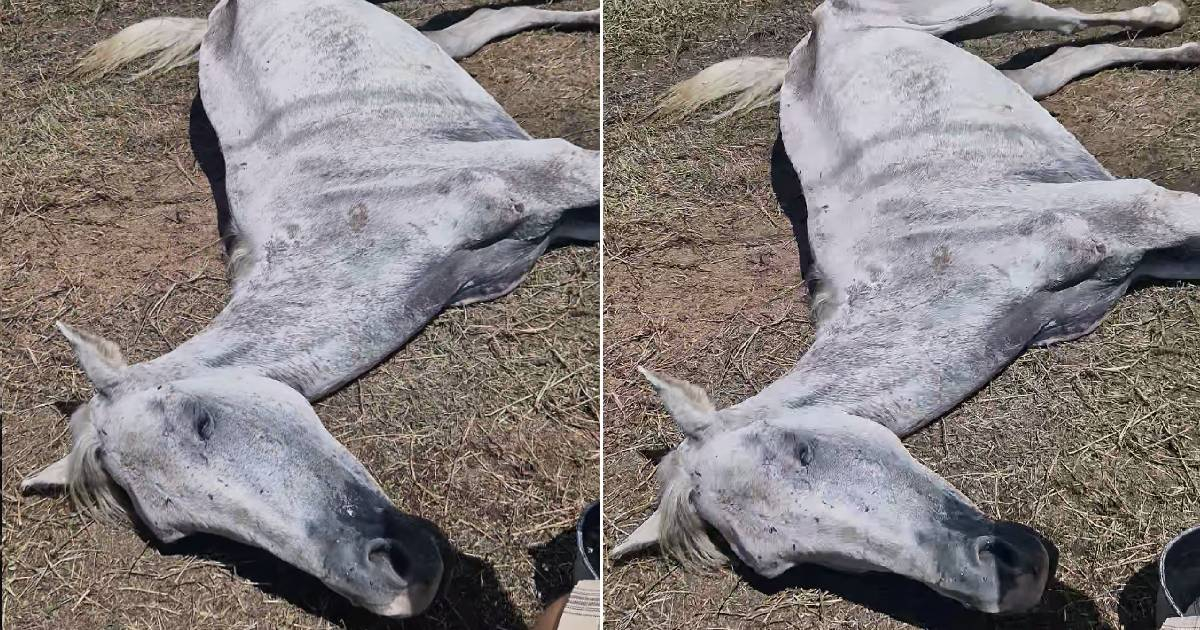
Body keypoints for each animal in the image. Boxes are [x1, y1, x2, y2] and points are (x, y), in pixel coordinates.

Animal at [614, 0, 1195, 614]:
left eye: (801, 449)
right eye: (780, 564)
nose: (1018, 576)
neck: (959, 260)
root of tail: (813, 32)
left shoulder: (1146, 212)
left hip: (978, 12)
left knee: (1064, 24)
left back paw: (1174, 25)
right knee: (1055, 63)